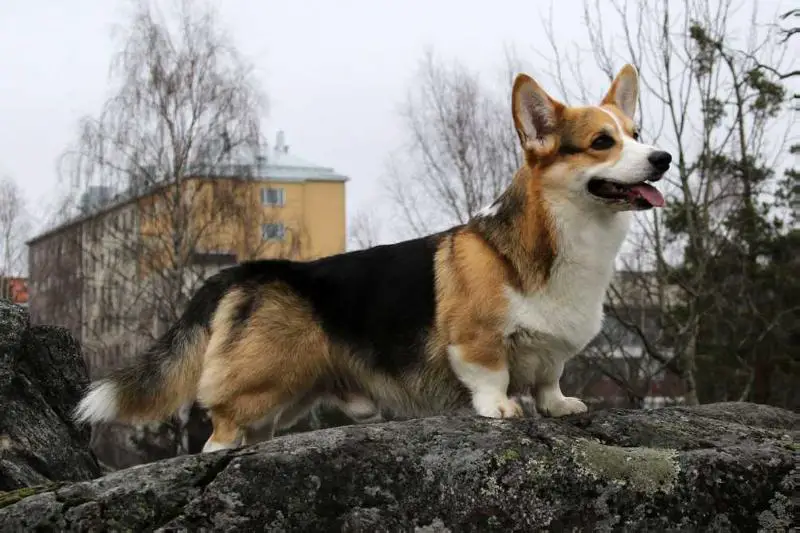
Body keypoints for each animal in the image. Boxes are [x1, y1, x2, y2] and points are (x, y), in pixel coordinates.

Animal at [73, 64, 668, 450]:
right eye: (601, 142)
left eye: (636, 133)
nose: (662, 158)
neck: (567, 239)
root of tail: (248, 270)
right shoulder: (475, 340)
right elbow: (491, 375)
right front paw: (502, 408)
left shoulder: (553, 352)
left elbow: (549, 376)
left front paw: (558, 404)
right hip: (258, 387)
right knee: (219, 433)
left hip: (283, 400)